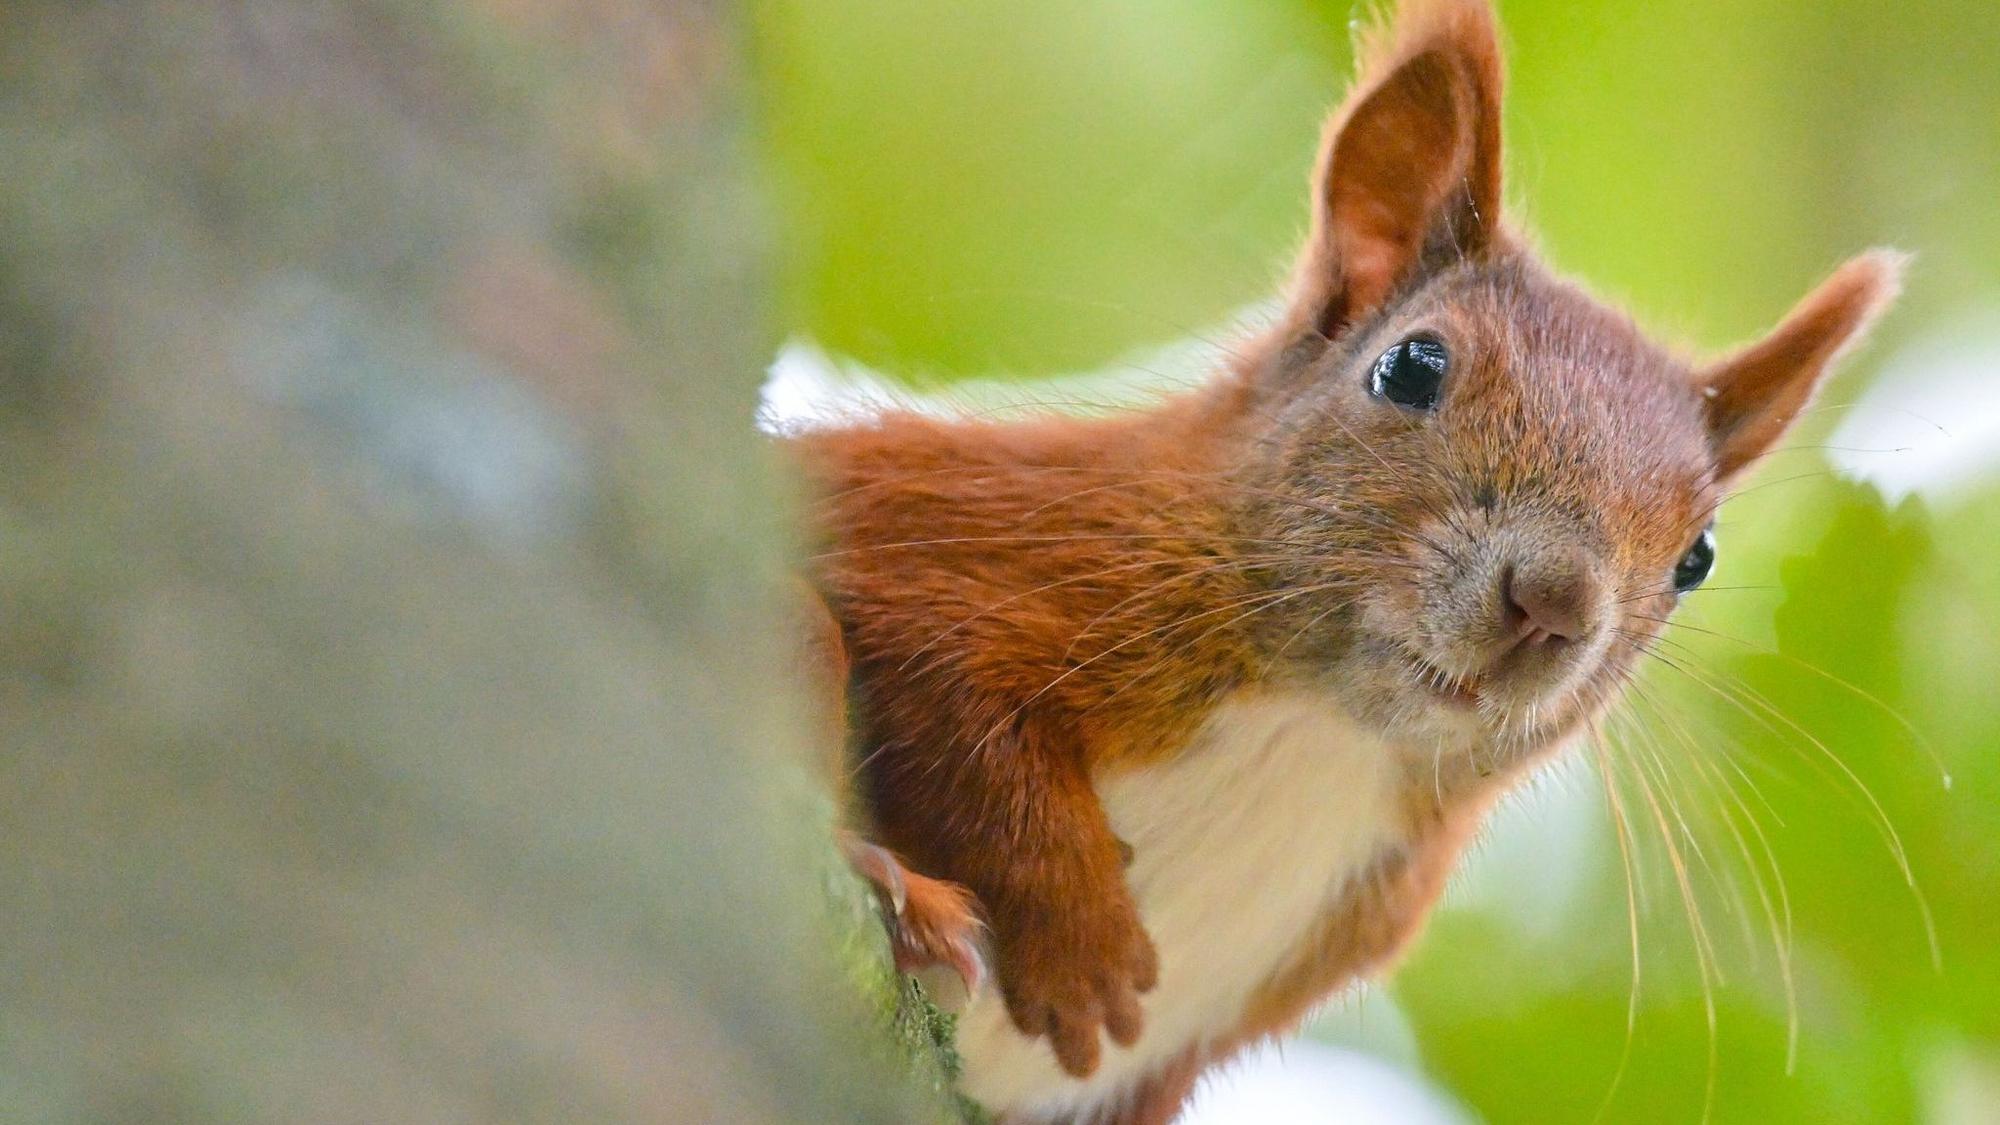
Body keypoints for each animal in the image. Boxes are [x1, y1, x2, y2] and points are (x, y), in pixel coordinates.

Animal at [789, 0, 1903, 1121]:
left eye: (1697, 555)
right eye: (1410, 366)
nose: (1552, 601)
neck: (1321, 731)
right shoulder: (961, 531)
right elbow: (955, 701)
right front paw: (1080, 944)